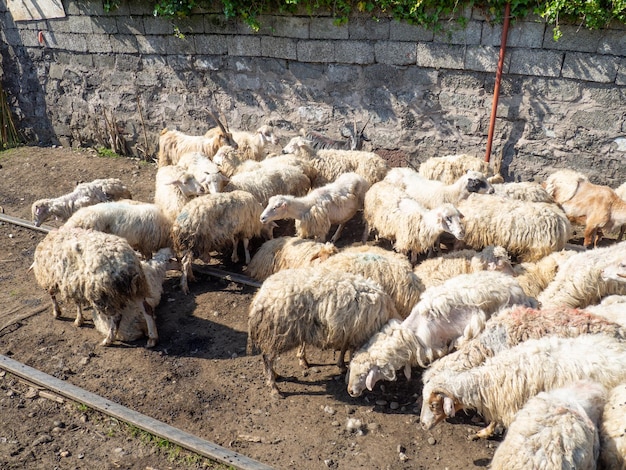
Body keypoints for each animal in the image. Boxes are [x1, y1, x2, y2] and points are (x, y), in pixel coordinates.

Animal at [246, 266, 398, 394]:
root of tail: (259, 296)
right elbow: (352, 355)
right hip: (278, 333)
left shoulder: (349, 331)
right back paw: (274, 386)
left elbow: (344, 348)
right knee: (267, 358)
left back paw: (276, 375)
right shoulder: (360, 336)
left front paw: (341, 365)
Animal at [416, 334, 626, 436]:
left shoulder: (512, 407)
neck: (490, 379)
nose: (423, 425)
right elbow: (494, 421)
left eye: (433, 405)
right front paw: (484, 432)